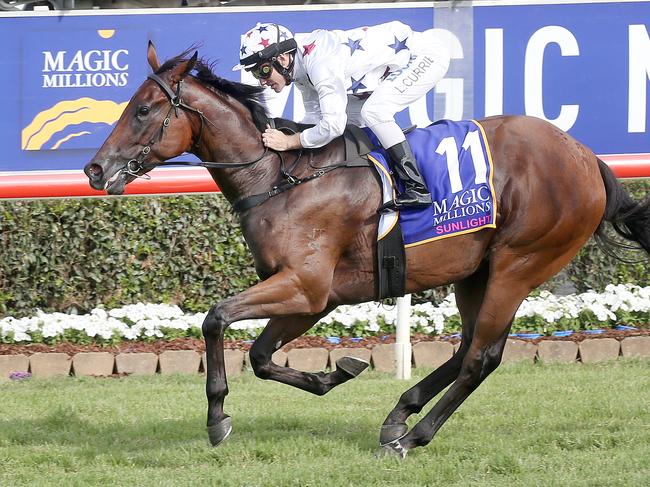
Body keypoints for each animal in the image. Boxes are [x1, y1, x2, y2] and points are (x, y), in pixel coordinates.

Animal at [85, 43, 648, 460]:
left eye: (142, 111)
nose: (94, 170)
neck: (279, 177)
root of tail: (585, 157)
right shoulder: (316, 297)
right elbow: (263, 357)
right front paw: (334, 373)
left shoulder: (305, 287)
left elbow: (215, 318)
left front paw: (218, 417)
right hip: (477, 271)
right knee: (469, 347)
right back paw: (400, 413)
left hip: (520, 263)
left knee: (481, 358)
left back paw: (412, 436)